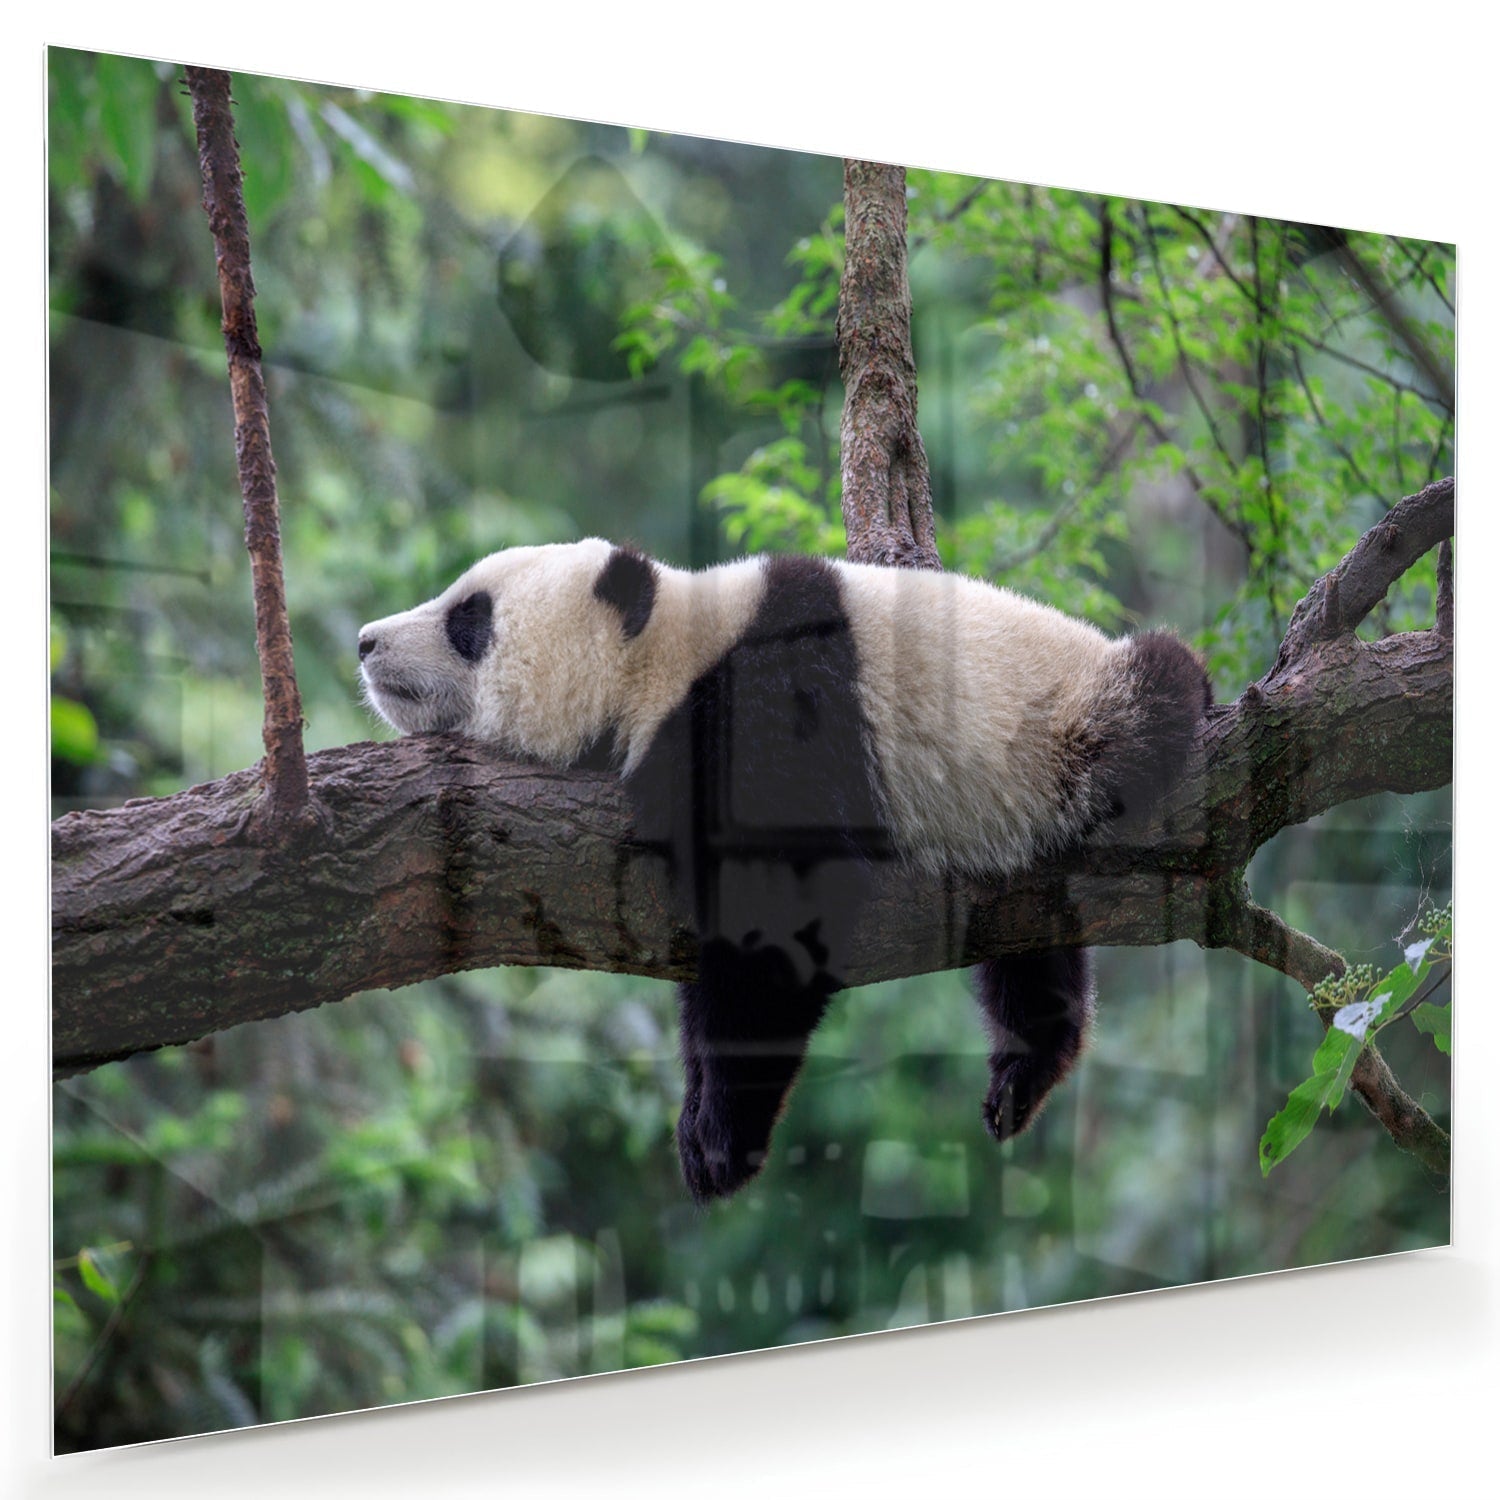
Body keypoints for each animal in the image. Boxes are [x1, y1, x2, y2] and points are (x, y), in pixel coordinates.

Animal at [358, 538, 1210, 1203]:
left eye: (469, 619)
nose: (366, 641)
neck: (663, 654)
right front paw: (699, 1119)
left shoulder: (770, 711)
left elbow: (777, 918)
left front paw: (720, 1138)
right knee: (1030, 943)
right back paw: (1024, 1070)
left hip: (1071, 729)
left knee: (1154, 694)